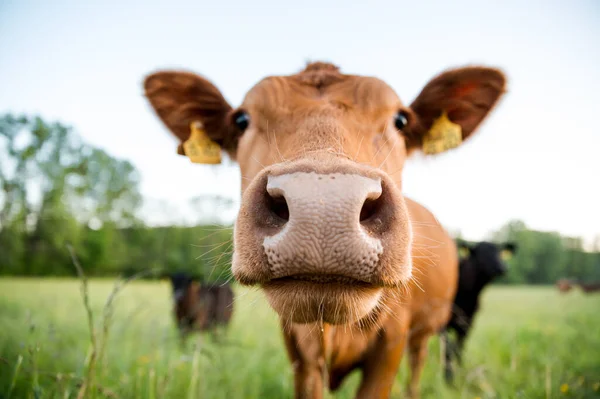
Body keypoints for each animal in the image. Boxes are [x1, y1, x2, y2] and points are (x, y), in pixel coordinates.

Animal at [440, 241, 516, 384]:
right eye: (482, 253)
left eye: (499, 252)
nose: (502, 267)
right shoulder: (442, 325)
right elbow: (448, 351)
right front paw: (448, 378)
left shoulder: (467, 324)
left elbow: (459, 349)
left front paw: (459, 374)